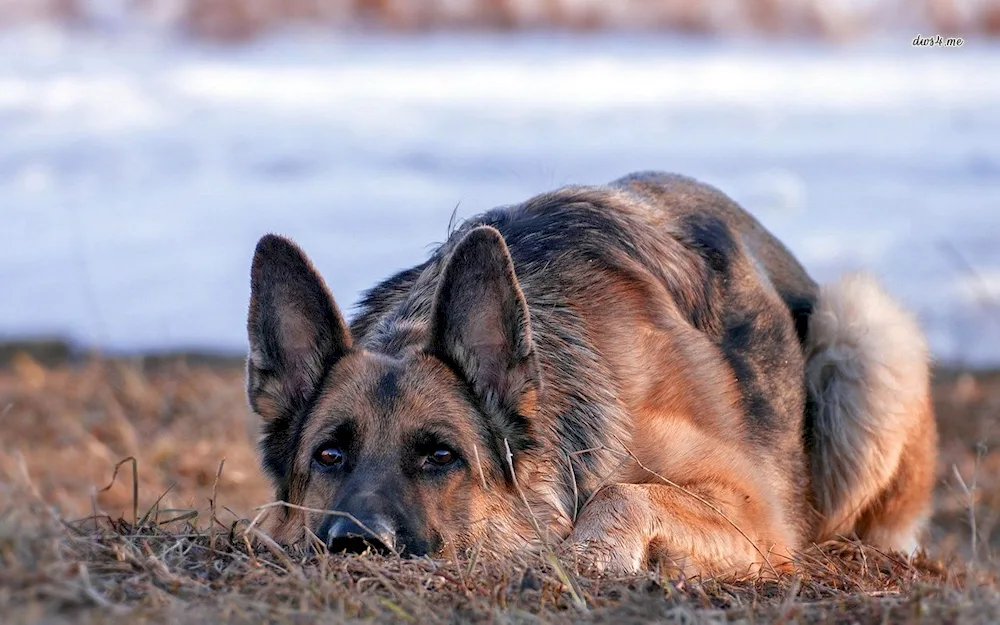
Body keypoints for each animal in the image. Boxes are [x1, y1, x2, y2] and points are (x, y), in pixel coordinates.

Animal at [244, 171, 936, 576]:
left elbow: (622, 493)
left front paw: (586, 557)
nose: (357, 545)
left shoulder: (756, 513)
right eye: (329, 455)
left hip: (861, 330)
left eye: (441, 456)